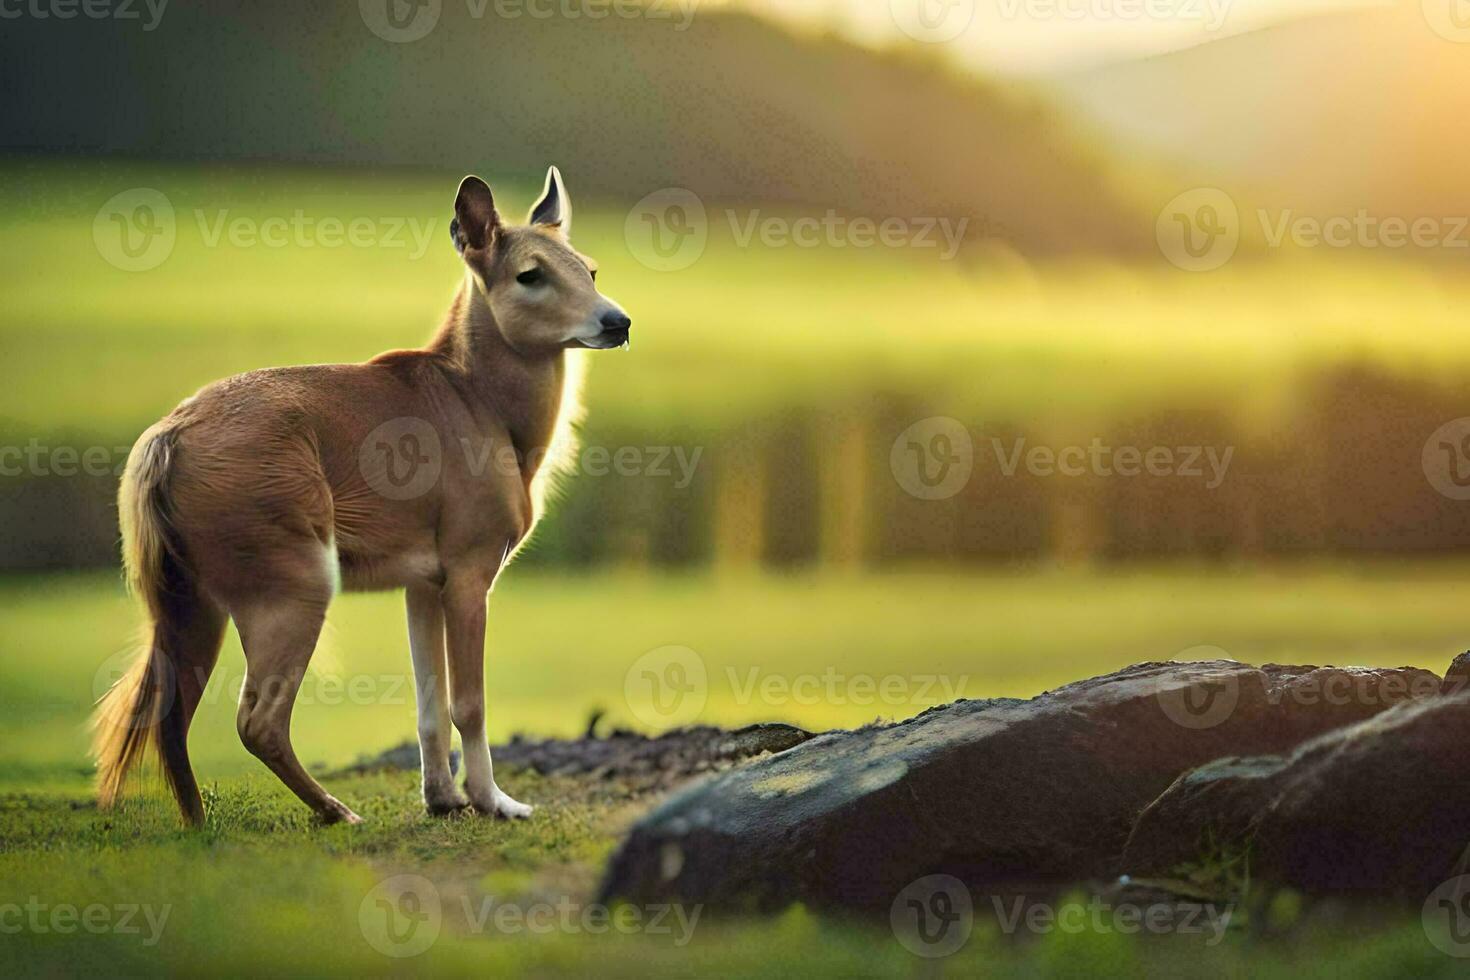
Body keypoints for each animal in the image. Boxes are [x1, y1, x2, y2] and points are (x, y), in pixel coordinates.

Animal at [90, 170, 632, 828]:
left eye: (590, 269)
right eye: (530, 274)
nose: (618, 322)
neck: (484, 407)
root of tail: (163, 442)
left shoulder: (423, 579)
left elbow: (430, 704)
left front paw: (442, 798)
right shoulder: (471, 564)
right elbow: (469, 703)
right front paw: (494, 802)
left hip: (189, 594)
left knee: (168, 713)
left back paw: (200, 823)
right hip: (293, 575)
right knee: (255, 721)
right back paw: (335, 811)